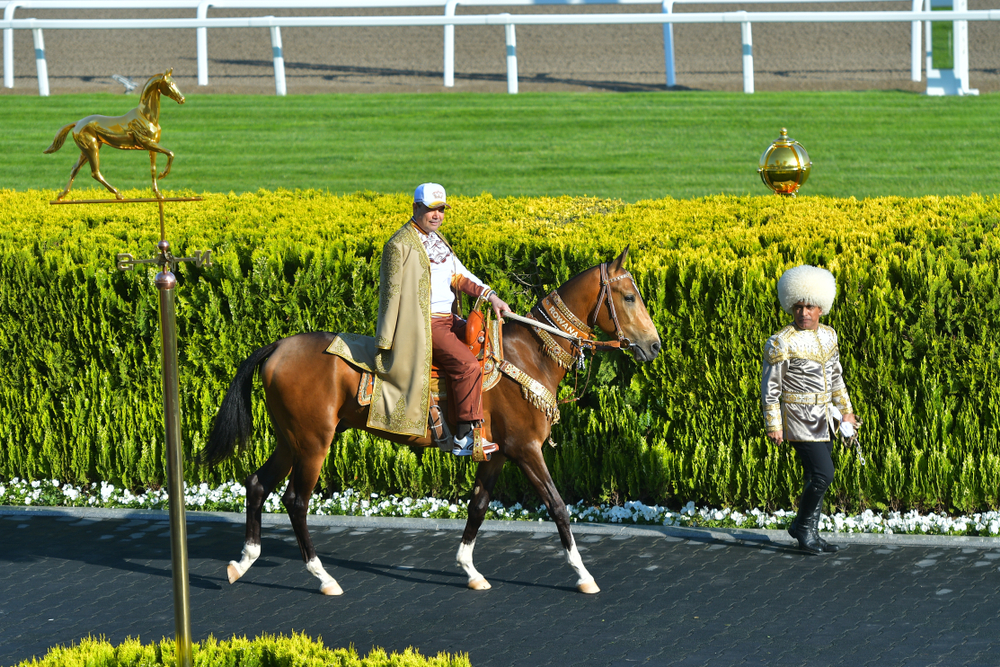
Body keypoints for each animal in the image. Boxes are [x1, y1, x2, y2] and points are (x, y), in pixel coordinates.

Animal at [43, 70, 186, 204]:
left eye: (176, 82)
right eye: (170, 84)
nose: (182, 99)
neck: (146, 116)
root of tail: (77, 123)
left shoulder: (152, 145)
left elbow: (153, 169)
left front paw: (159, 194)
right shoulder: (146, 142)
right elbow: (171, 153)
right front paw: (163, 175)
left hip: (88, 149)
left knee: (75, 168)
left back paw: (61, 195)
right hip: (91, 148)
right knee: (95, 173)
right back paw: (119, 194)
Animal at [199, 248, 660, 596]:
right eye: (629, 296)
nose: (653, 345)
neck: (527, 354)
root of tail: (277, 347)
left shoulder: (496, 453)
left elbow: (478, 506)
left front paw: (469, 569)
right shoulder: (526, 449)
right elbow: (559, 507)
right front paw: (583, 574)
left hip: (290, 439)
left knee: (257, 484)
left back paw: (244, 561)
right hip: (313, 442)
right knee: (295, 500)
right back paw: (322, 577)